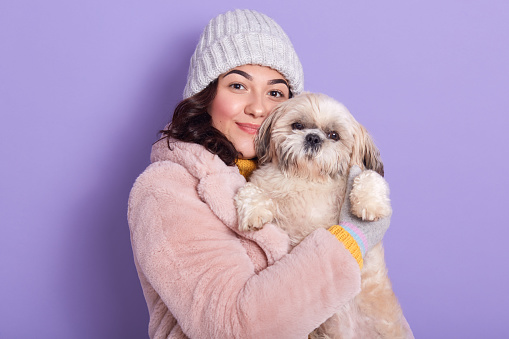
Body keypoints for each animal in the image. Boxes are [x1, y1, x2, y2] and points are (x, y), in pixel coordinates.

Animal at [235, 93, 408, 339]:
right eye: (297, 126)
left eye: (334, 135)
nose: (313, 138)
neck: (308, 178)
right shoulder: (260, 184)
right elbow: (248, 189)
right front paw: (255, 212)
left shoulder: (358, 173)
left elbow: (369, 175)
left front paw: (371, 205)